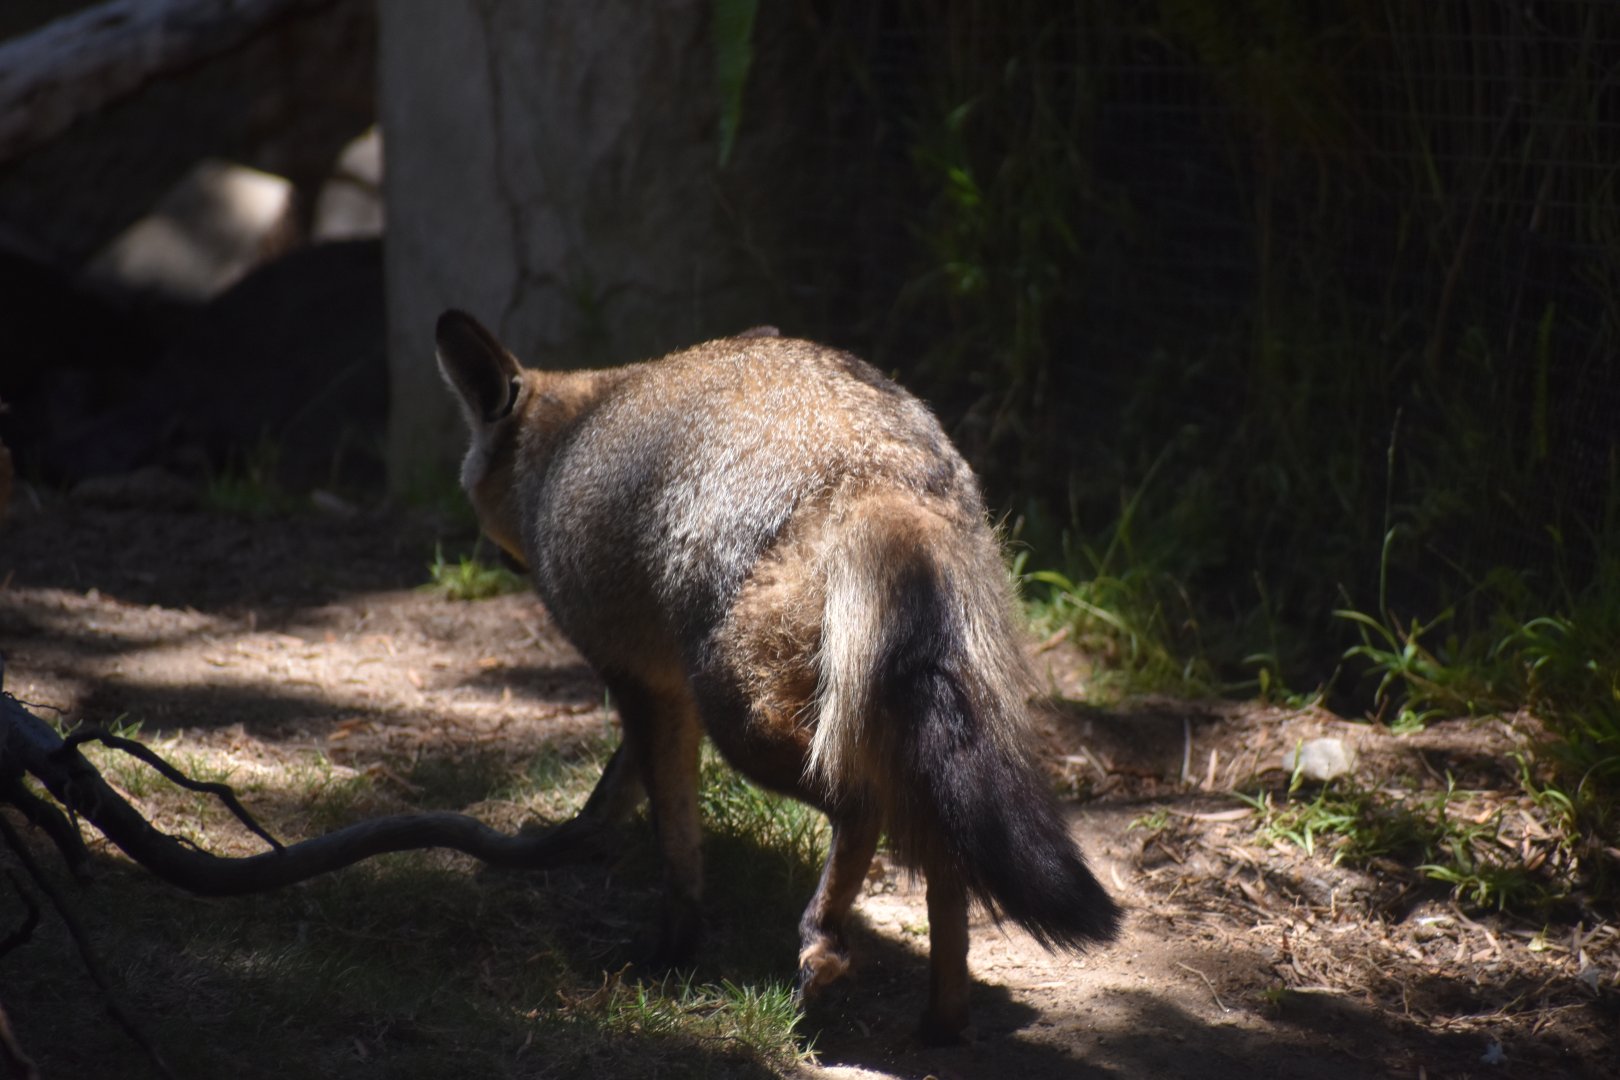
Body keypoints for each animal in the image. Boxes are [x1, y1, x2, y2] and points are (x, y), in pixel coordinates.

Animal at [434, 309, 1120, 1041]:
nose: (492, 558)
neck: (559, 452)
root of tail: (881, 468)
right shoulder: (664, 688)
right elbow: (621, 790)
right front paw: (578, 841)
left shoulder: (638, 679)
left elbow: (675, 837)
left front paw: (671, 950)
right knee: (943, 855)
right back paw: (941, 1020)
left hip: (745, 721)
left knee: (864, 804)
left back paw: (824, 940)